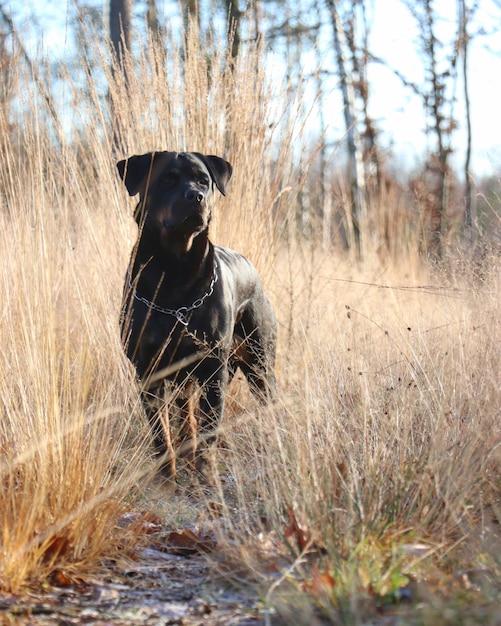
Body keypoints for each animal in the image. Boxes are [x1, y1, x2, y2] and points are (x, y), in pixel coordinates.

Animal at [116, 151, 276, 478]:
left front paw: (206, 477)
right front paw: (168, 476)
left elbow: (208, 430)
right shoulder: (148, 372)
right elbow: (160, 432)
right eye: (167, 179)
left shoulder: (214, 369)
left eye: (204, 180)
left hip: (259, 362)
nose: (196, 196)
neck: (174, 271)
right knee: (185, 416)